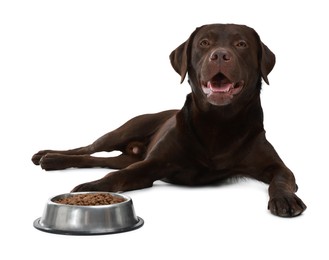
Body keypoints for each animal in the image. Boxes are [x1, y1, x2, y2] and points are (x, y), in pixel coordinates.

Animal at [32, 23, 306, 216]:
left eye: (241, 44)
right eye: (204, 43)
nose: (219, 55)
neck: (218, 122)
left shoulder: (276, 166)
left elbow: (281, 179)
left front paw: (285, 199)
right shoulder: (152, 164)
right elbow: (115, 178)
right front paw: (91, 187)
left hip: (126, 156)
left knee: (95, 159)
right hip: (124, 131)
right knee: (87, 148)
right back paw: (48, 156)